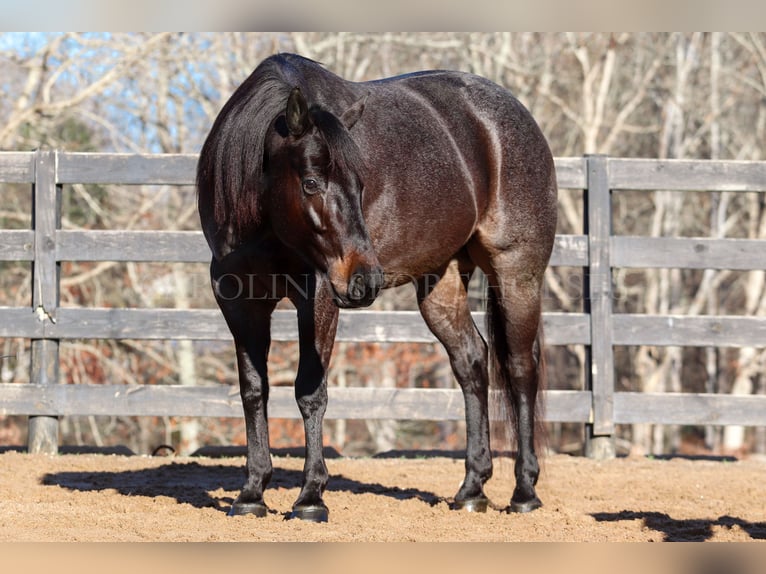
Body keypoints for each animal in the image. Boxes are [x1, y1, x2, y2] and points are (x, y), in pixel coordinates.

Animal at [198, 53, 560, 520]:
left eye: (361, 184)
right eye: (311, 182)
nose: (365, 279)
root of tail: (513, 116)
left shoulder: (318, 296)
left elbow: (309, 391)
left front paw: (310, 497)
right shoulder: (240, 302)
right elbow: (253, 391)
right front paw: (251, 493)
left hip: (516, 274)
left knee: (519, 369)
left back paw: (524, 491)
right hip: (440, 283)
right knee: (472, 361)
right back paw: (471, 489)